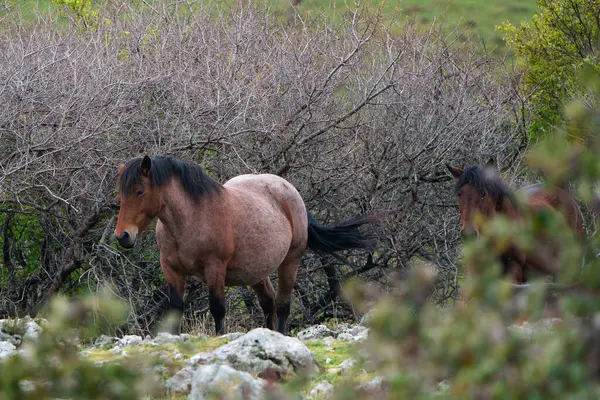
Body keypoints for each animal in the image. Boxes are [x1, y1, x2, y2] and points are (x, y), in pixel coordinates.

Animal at [113, 155, 376, 336]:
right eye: (121, 193)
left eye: (140, 191)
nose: (122, 236)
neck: (191, 218)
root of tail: (289, 190)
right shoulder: (171, 269)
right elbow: (176, 309)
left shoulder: (215, 268)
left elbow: (217, 308)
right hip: (257, 271)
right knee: (268, 302)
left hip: (290, 262)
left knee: (282, 305)